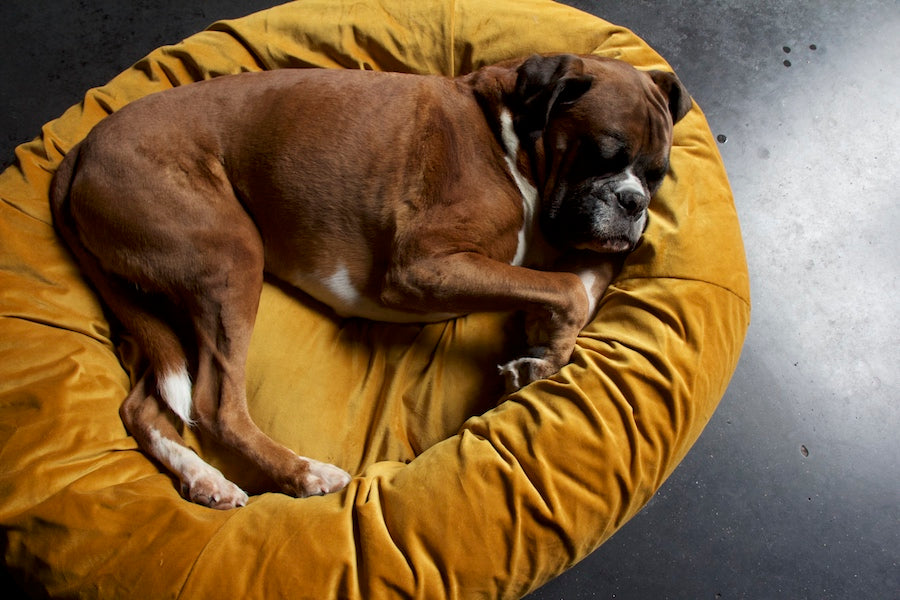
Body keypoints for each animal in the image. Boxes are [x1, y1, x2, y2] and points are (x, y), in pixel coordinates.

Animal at [49, 54, 688, 508]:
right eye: (603, 154)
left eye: (657, 175)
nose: (634, 204)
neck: (508, 137)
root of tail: (82, 147)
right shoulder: (422, 267)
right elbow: (564, 289)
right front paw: (546, 355)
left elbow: (586, 278)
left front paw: (540, 347)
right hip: (231, 254)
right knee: (214, 403)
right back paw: (303, 474)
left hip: (175, 303)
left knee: (148, 403)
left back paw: (206, 481)